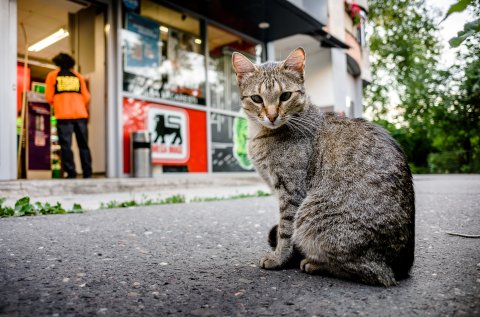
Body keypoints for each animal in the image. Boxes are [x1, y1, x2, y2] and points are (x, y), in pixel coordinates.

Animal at [232, 47, 412, 286]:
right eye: (256, 98)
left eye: (285, 96)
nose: (271, 116)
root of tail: (401, 267)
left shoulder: (291, 191)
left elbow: (285, 230)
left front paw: (279, 258)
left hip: (311, 213)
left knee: (375, 274)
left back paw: (315, 264)